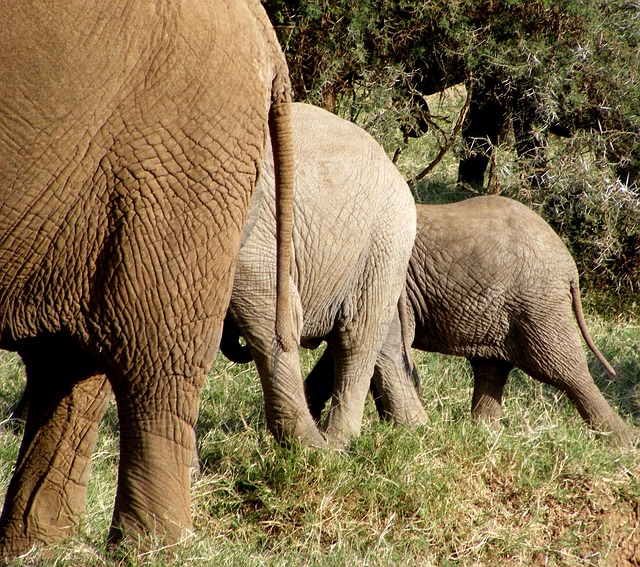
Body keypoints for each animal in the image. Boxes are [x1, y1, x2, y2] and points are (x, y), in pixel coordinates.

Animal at [0, 0, 296, 560]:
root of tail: (261, 26)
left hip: (179, 159)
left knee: (154, 363)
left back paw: (149, 551)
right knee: (70, 364)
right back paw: (36, 553)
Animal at [222, 101, 422, 448]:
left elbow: (271, 315)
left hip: (384, 238)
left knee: (357, 336)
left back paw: (337, 445)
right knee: (385, 340)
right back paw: (414, 430)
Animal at [302, 197, 636, 446]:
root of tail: (569, 266)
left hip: (538, 303)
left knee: (563, 368)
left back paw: (623, 442)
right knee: (492, 366)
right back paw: (484, 434)